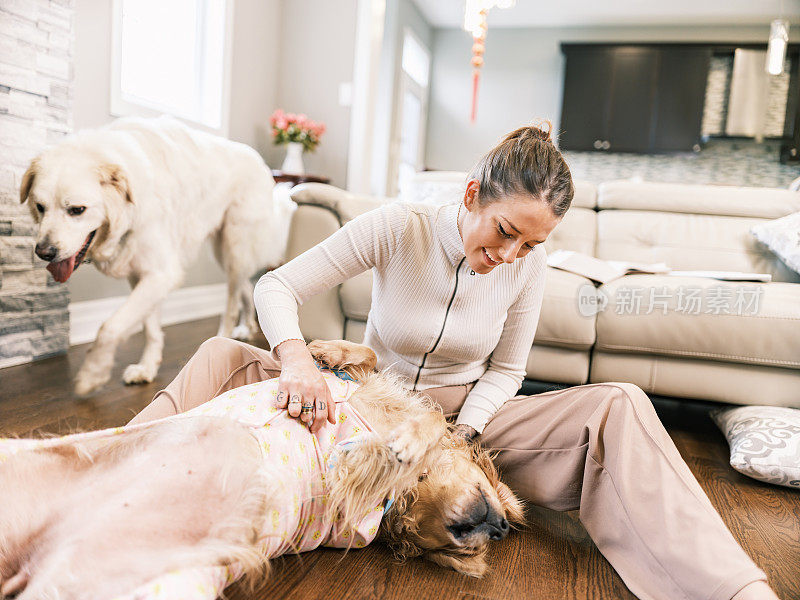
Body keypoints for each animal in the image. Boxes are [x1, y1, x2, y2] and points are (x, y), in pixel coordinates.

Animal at [18, 117, 294, 396]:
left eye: (77, 210)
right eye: (40, 207)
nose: (44, 252)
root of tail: (259, 161)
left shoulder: (161, 274)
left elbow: (110, 327)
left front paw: (93, 373)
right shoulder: (143, 273)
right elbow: (150, 328)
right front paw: (147, 368)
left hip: (233, 247)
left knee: (232, 301)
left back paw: (225, 334)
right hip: (225, 254)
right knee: (247, 287)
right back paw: (247, 325)